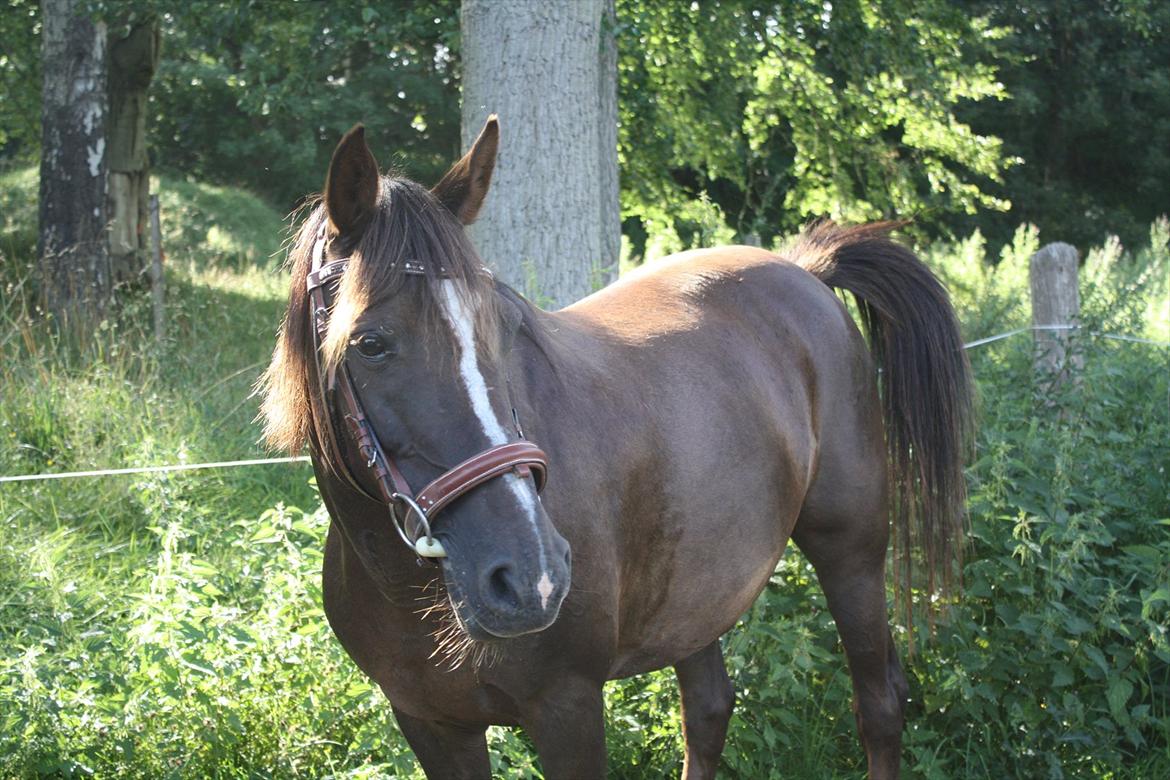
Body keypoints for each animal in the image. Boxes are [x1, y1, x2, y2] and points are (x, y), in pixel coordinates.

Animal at [260, 117, 973, 779]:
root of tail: (805, 273)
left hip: (851, 551)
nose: (531, 574)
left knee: (878, 704)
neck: (409, 588)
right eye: (370, 343)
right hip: (697, 592)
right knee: (708, 710)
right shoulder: (431, 723)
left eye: (500, 327)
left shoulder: (568, 708)